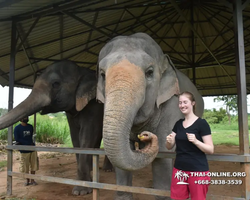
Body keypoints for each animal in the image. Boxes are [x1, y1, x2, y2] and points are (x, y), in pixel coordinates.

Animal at [0, 60, 112, 195]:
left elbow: (87, 134)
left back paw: (108, 170)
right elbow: (75, 136)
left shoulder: (94, 105)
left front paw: (81, 191)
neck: (81, 71)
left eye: (56, 84)